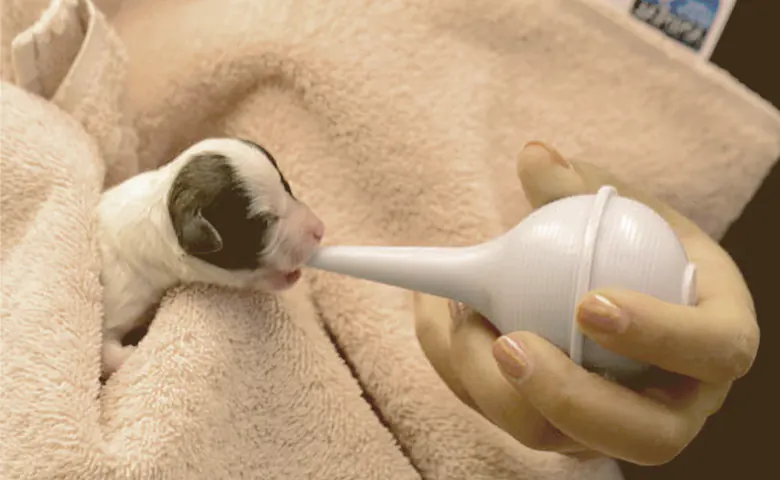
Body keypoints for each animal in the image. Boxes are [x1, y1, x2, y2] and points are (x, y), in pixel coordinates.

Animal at [97, 137, 322, 376]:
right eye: (263, 223)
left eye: (286, 186)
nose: (320, 230)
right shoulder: (117, 301)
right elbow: (106, 349)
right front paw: (134, 355)